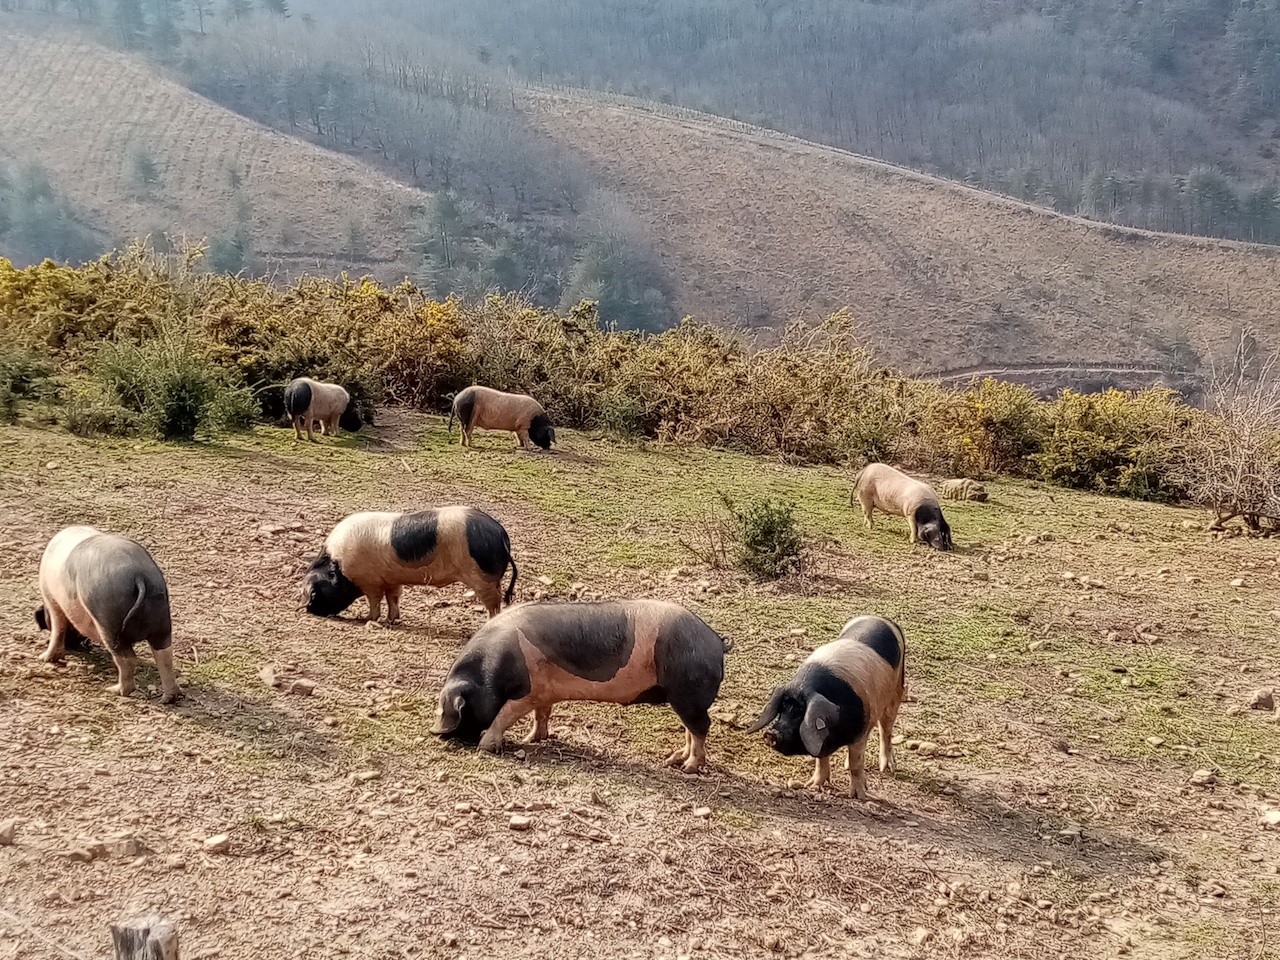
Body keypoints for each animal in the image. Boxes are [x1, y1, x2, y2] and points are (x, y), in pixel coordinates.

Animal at [33, 527, 181, 706]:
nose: (74, 646)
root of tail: (139, 575)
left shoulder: (53, 601)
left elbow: (57, 629)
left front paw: (44, 658)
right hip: (161, 619)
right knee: (165, 655)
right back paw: (168, 698)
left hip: (108, 620)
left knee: (127, 658)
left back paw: (115, 690)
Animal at [302, 506, 517, 627]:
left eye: (313, 593)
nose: (308, 610)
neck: (338, 566)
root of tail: (501, 534)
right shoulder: (391, 580)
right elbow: (393, 598)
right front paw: (392, 621)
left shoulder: (370, 582)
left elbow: (375, 601)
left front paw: (365, 619)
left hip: (482, 577)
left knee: (493, 602)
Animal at [432, 601, 727, 773]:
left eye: (453, 708)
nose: (435, 732)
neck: (488, 673)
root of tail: (716, 640)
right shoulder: (543, 690)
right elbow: (542, 714)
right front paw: (531, 739)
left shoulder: (525, 691)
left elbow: (505, 714)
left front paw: (485, 746)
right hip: (685, 697)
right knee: (691, 729)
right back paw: (673, 759)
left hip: (688, 691)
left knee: (701, 727)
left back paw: (689, 767)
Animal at [747, 619, 906, 798]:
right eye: (782, 709)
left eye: (800, 713)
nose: (771, 733)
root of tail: (882, 619)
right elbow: (821, 759)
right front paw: (811, 785)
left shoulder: (860, 729)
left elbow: (856, 764)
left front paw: (858, 796)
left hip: (897, 690)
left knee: (886, 729)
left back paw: (887, 768)